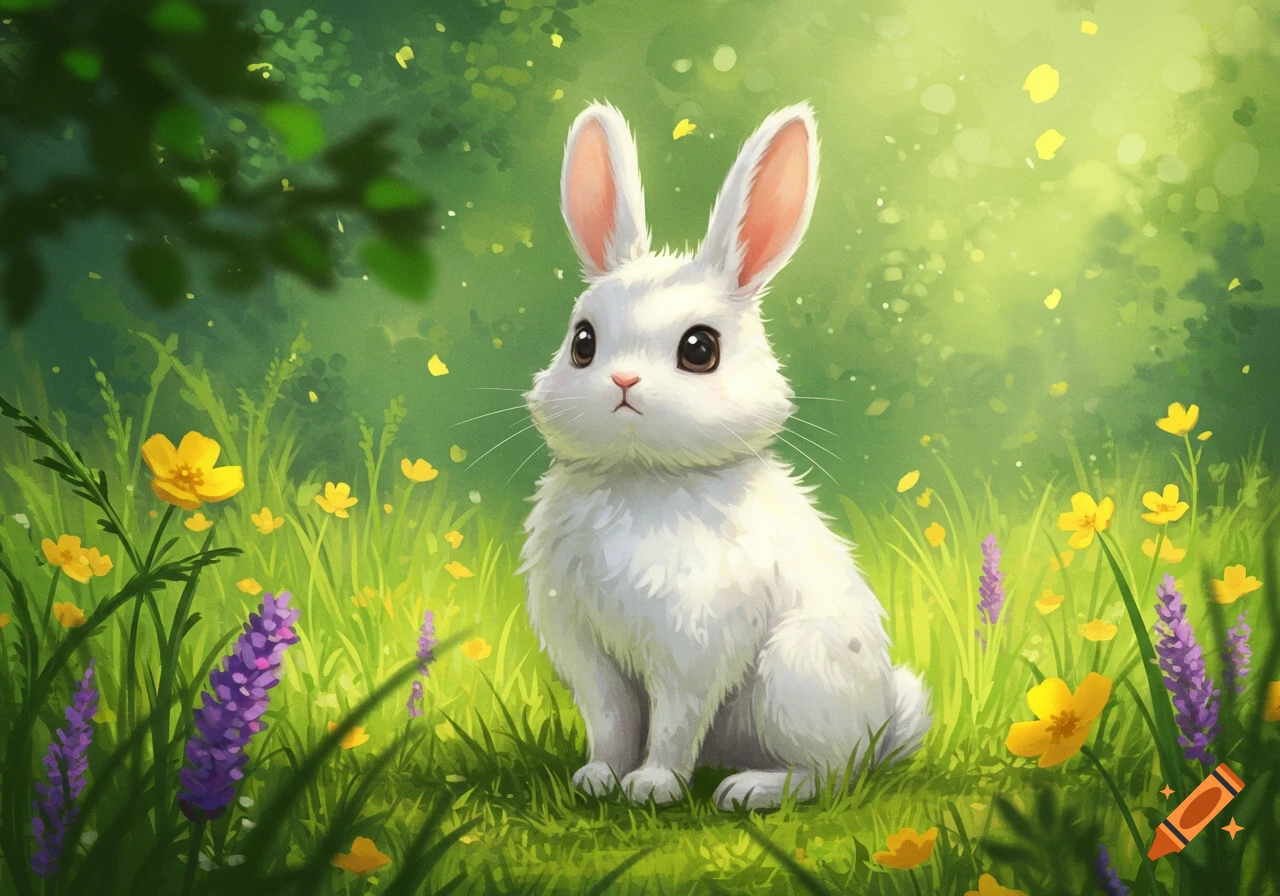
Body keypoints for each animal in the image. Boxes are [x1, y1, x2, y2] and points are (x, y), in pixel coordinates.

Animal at [519, 101, 930, 811]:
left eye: (700, 349)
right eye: (582, 343)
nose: (622, 382)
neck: (643, 478)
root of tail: (880, 729)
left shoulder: (693, 648)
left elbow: (673, 724)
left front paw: (653, 787)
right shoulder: (587, 651)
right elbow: (610, 717)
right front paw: (598, 779)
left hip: (793, 678)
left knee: (829, 776)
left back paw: (749, 790)